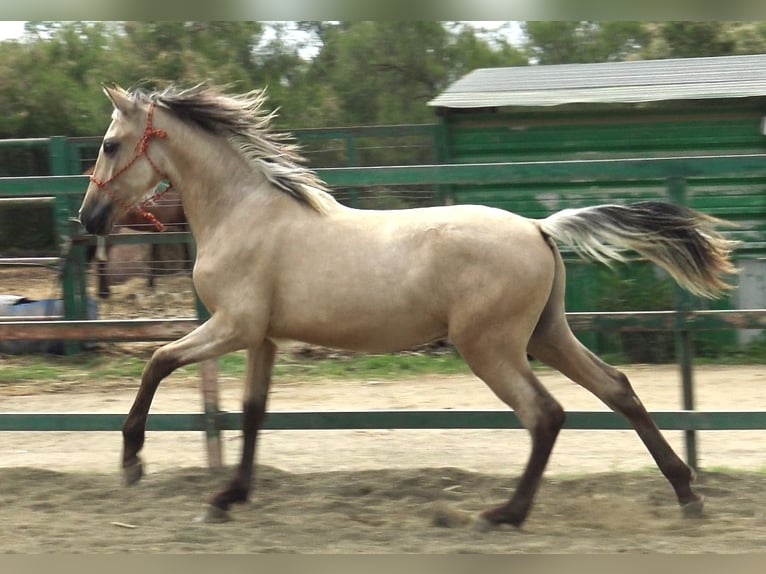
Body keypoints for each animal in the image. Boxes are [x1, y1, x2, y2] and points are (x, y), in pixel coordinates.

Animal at [78, 83, 736, 528]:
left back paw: (502, 514)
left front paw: (133, 460)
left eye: (110, 144)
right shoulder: (261, 337)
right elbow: (252, 412)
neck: (244, 212)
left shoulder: (233, 326)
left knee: (545, 414)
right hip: (546, 335)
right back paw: (687, 493)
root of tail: (538, 226)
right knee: (617, 389)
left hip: (491, 346)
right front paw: (226, 497)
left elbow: (159, 360)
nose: (88, 219)